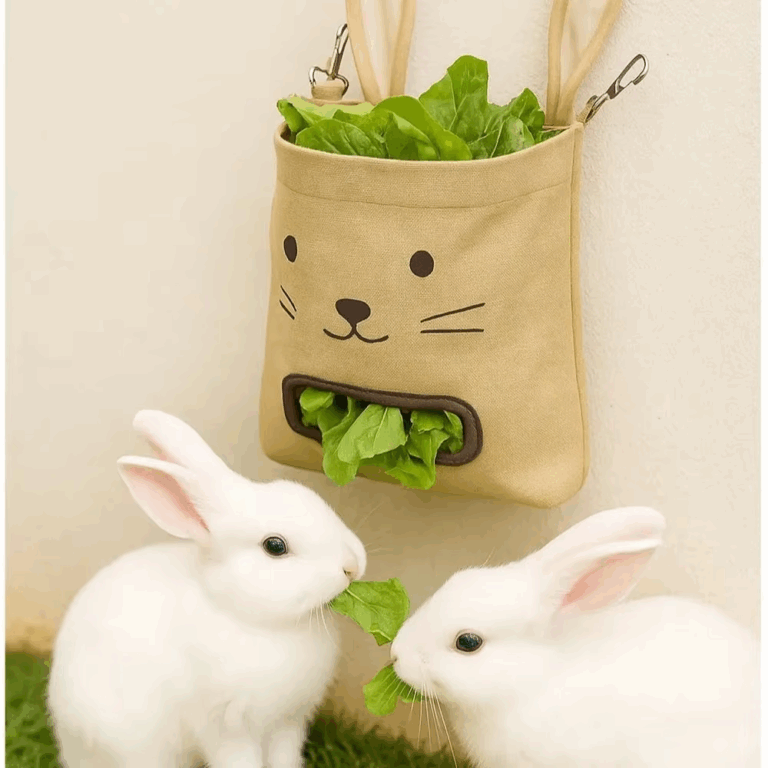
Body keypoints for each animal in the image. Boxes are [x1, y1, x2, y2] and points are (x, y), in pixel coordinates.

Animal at [47, 410, 366, 768]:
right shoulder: (227, 726)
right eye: (275, 546)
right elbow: (241, 761)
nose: (352, 565)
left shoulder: (288, 722)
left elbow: (285, 758)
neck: (257, 621)